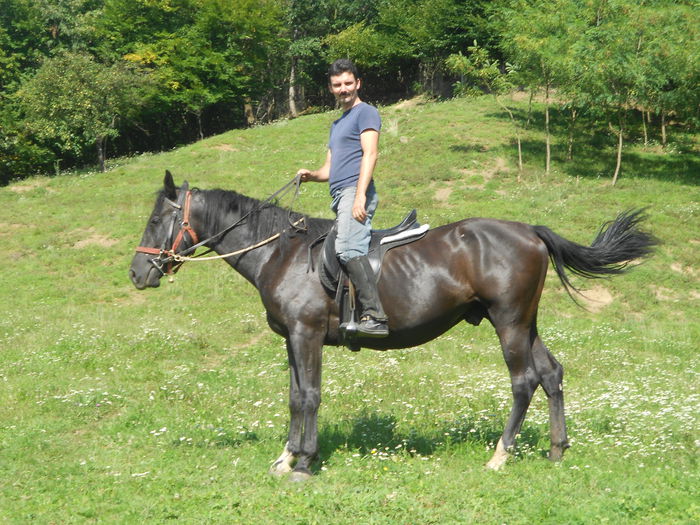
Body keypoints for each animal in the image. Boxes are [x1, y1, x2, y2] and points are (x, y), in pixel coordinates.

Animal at [130, 172, 656, 478]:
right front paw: (286, 456)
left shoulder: (306, 335)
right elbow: (294, 396)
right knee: (551, 374)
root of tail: (529, 231)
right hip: (524, 322)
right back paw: (556, 450)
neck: (282, 252)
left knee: (524, 381)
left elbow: (309, 396)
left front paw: (305, 462)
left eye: (157, 219)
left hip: (508, 323)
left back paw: (500, 455)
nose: (137, 274)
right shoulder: (292, 341)